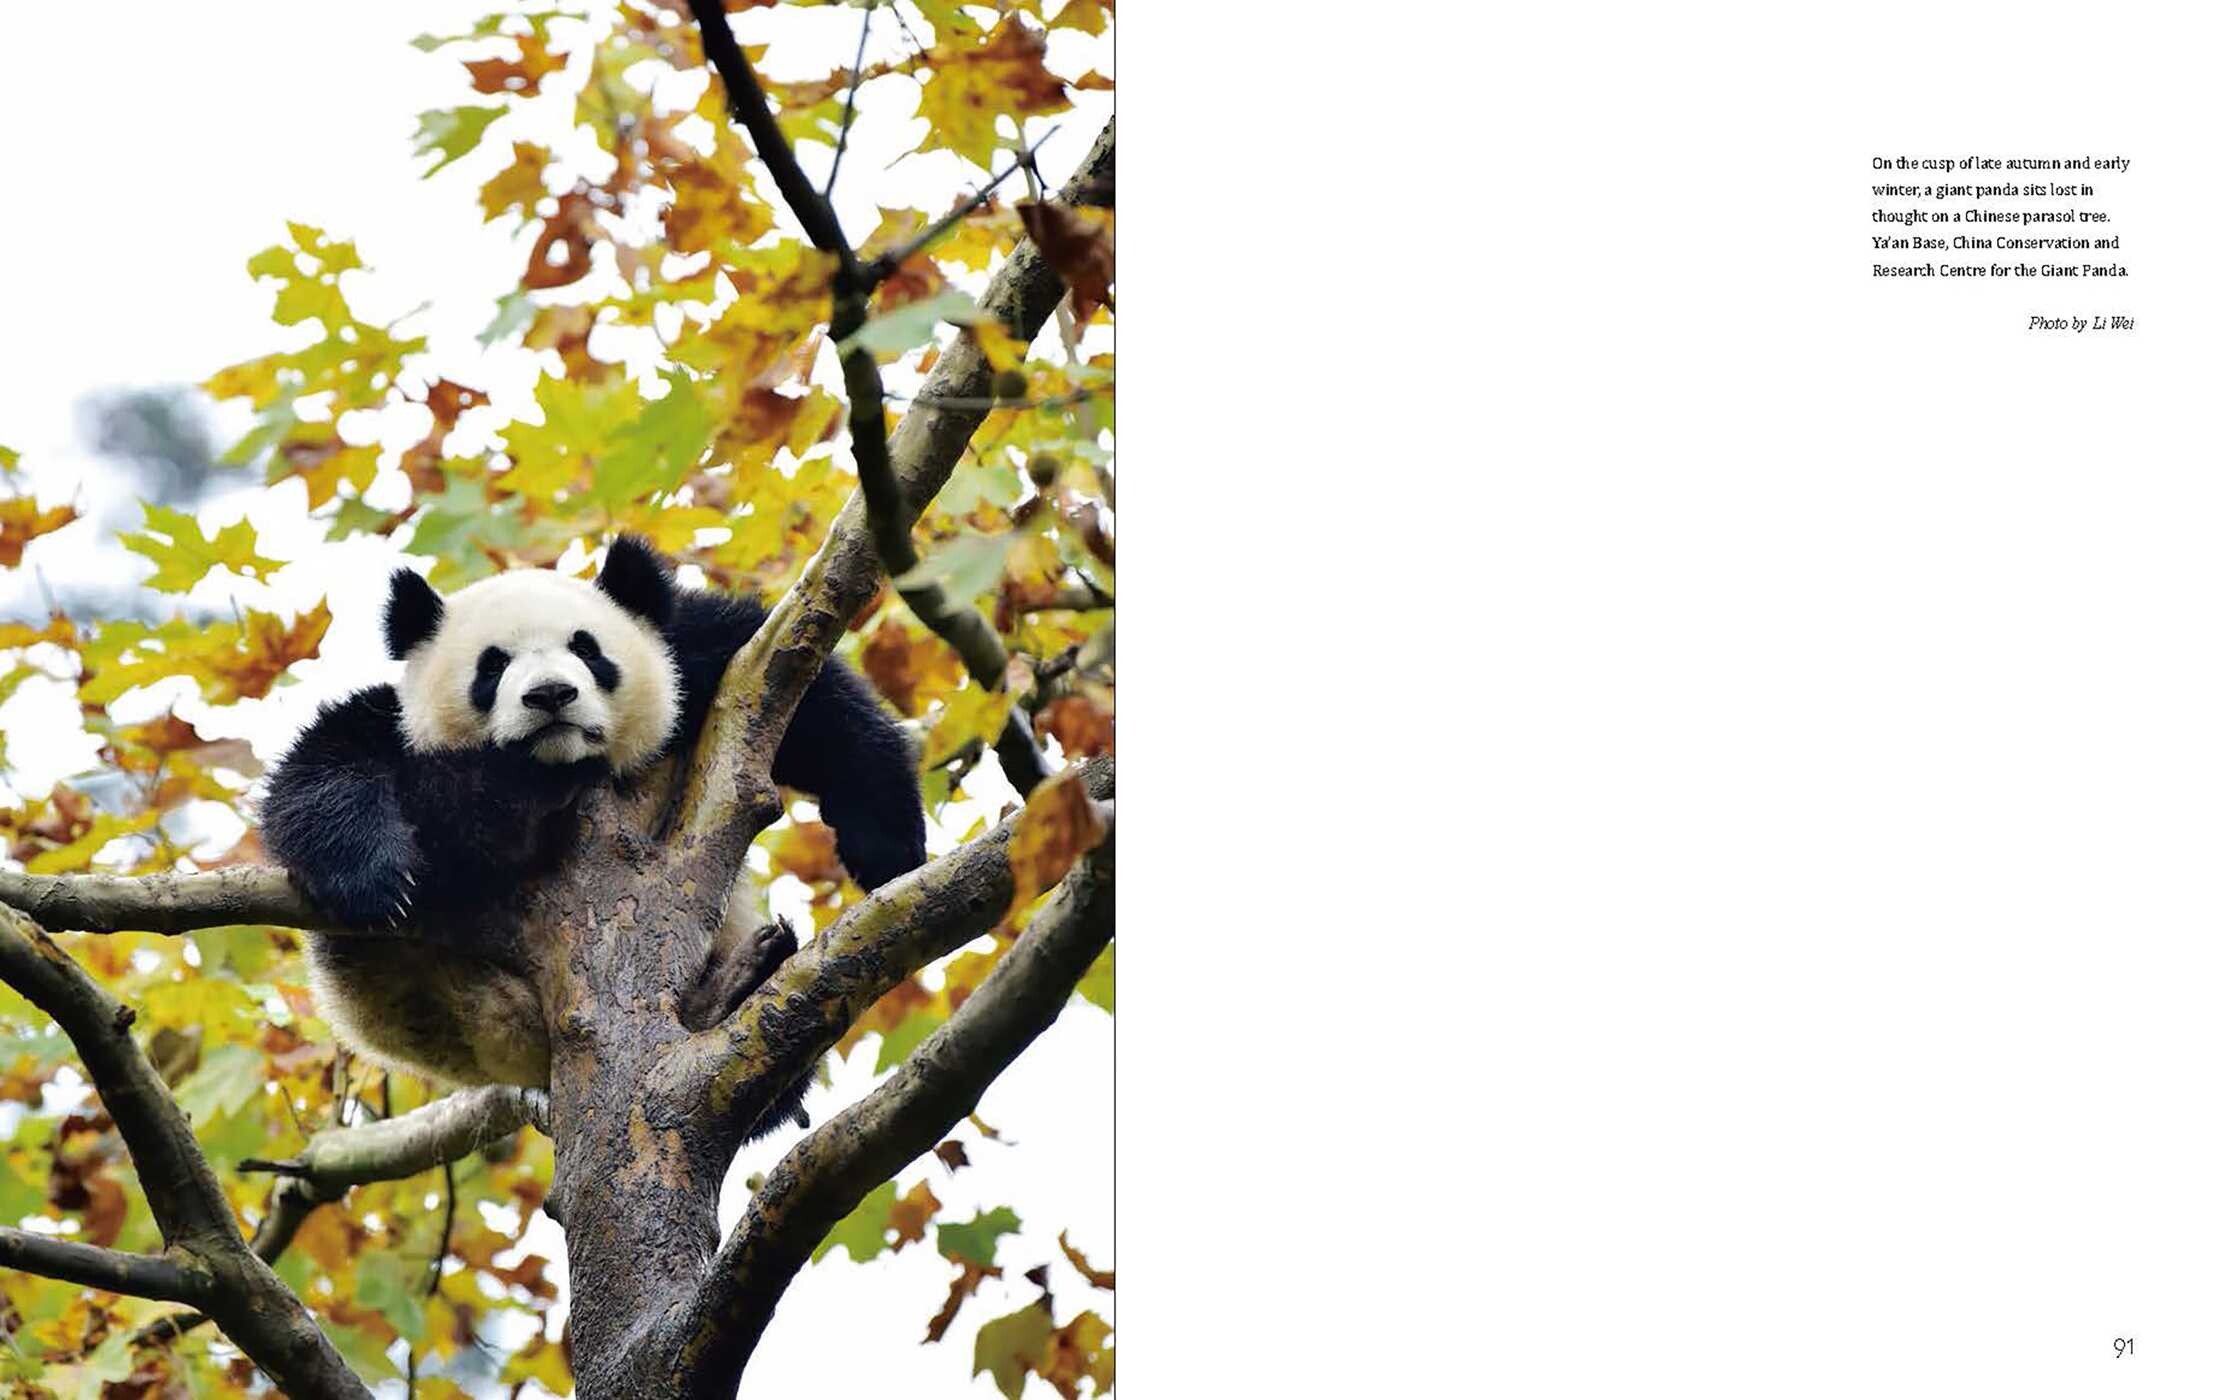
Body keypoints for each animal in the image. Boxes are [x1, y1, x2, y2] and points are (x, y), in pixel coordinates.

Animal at [259, 536, 925, 1127]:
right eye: (492, 664)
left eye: (586, 647)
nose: (551, 694)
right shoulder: (393, 728)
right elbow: (326, 773)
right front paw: (377, 878)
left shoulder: (696, 660)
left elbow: (810, 702)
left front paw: (886, 851)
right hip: (422, 998)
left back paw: (740, 985)